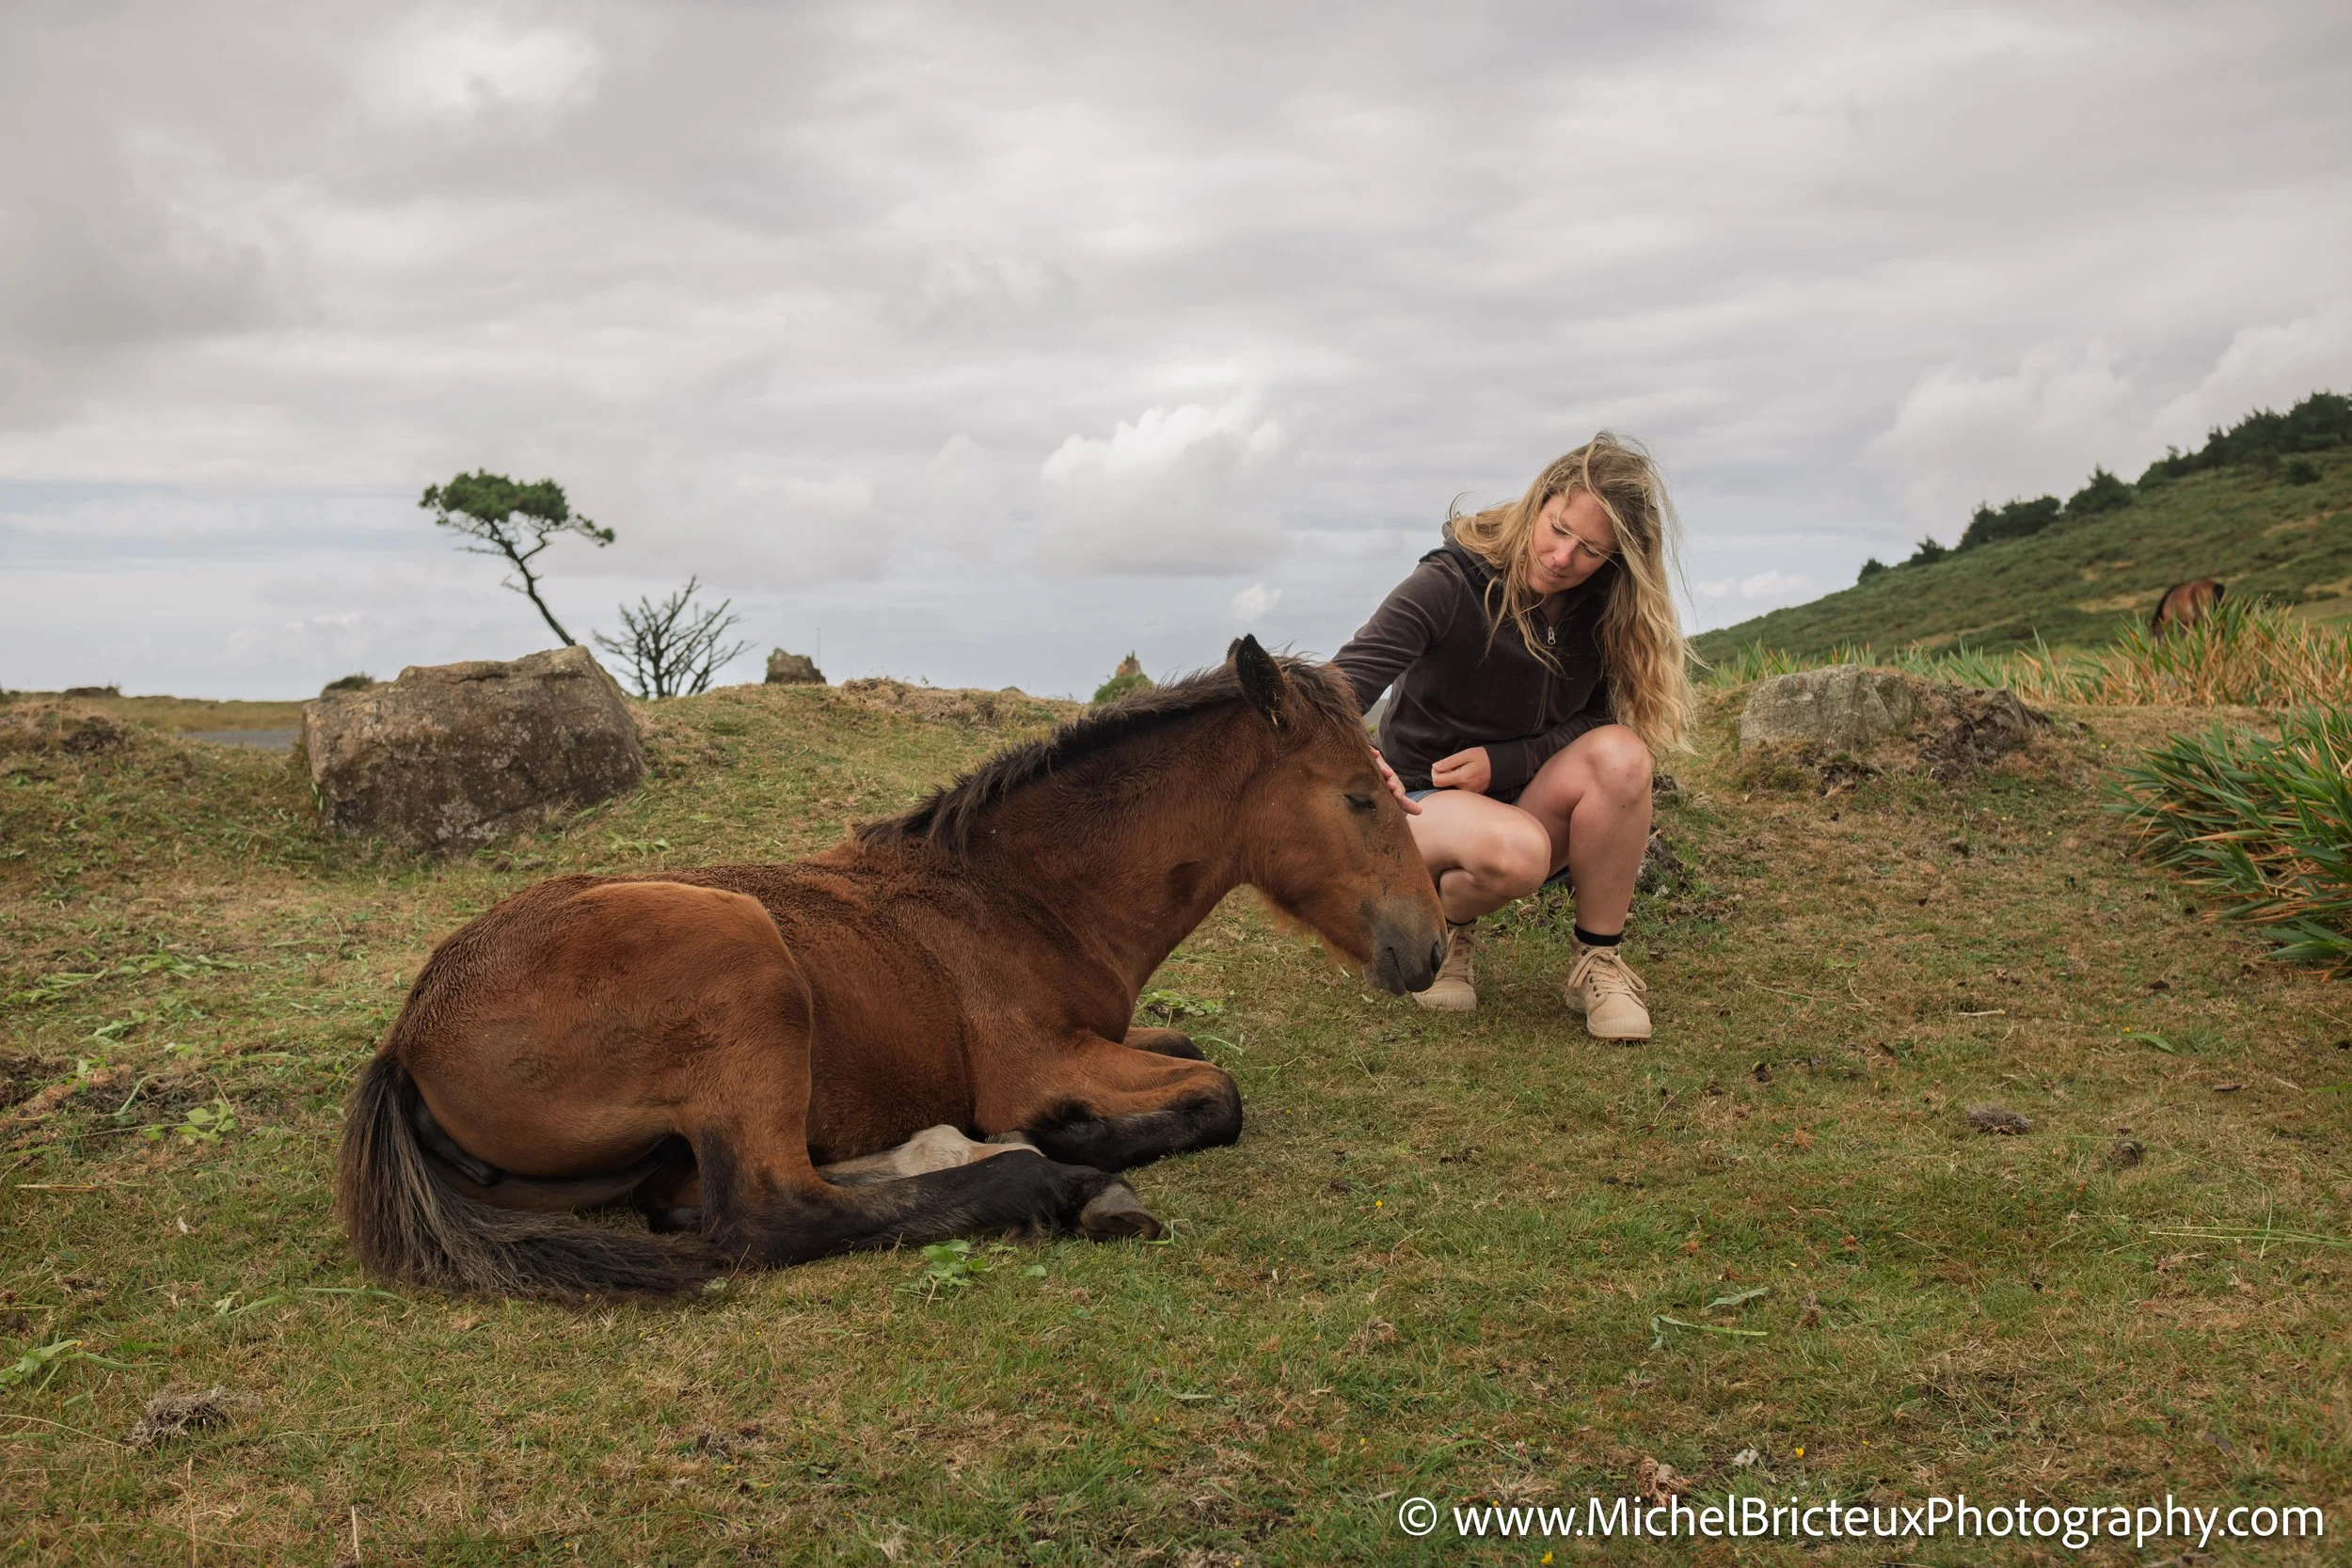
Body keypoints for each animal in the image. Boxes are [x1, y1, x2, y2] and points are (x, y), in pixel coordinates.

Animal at [336, 637, 1448, 1300]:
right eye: (1358, 796)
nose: (1429, 945)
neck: (1016, 894)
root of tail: (410, 1037)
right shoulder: (1037, 1061)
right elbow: (1219, 1092)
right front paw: (1069, 1133)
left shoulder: (1108, 1032)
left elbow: (1189, 1045)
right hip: (743, 967)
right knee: (768, 1213)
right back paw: (1054, 1178)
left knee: (697, 1194)